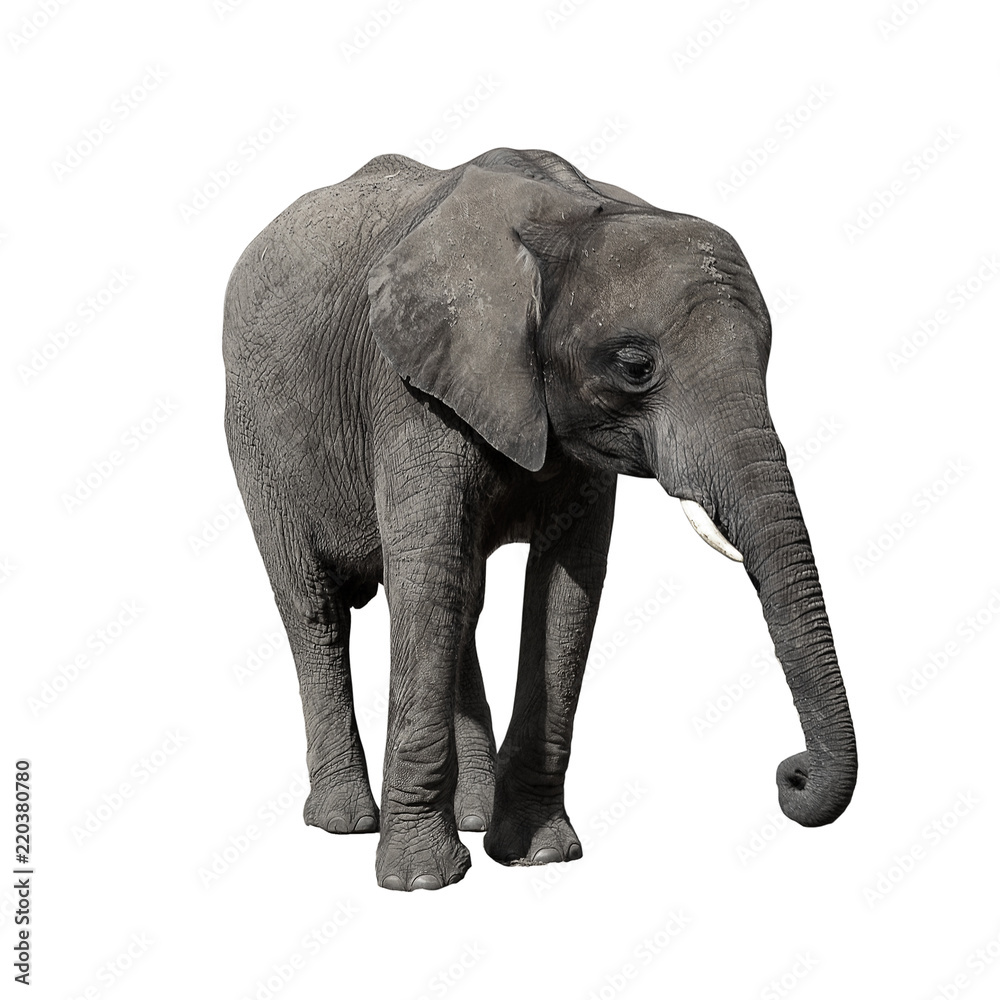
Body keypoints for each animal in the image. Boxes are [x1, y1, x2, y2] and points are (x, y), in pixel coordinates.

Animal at [222, 146, 857, 891]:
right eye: (635, 366)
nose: (791, 775)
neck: (571, 212)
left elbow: (566, 588)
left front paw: (539, 856)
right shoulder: (406, 389)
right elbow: (427, 574)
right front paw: (423, 883)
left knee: (461, 602)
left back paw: (469, 815)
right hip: (256, 441)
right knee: (317, 608)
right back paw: (345, 823)